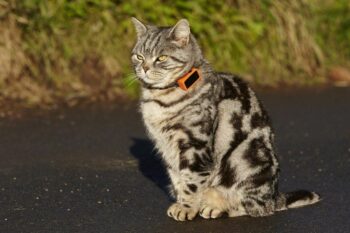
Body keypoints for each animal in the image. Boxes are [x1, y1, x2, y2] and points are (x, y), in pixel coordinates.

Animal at [131, 17, 320, 220]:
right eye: (139, 57)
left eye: (161, 58)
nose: (144, 68)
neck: (160, 99)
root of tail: (275, 195)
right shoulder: (166, 147)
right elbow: (178, 179)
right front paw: (182, 203)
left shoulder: (195, 146)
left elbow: (191, 182)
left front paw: (186, 208)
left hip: (246, 162)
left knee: (256, 208)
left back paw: (217, 208)